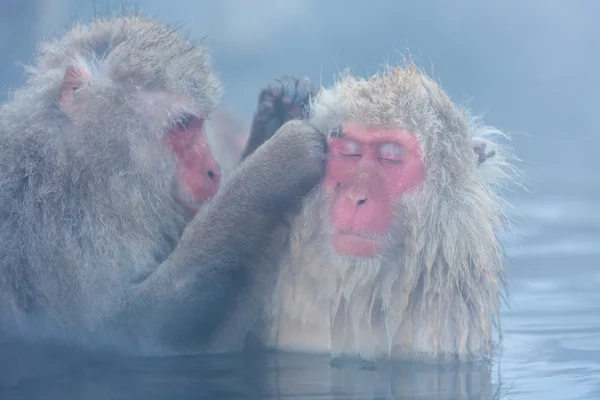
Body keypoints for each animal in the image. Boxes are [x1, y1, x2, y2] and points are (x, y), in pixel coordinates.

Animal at [0, 14, 328, 356]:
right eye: (183, 124)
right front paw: (279, 161)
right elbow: (128, 330)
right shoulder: (58, 231)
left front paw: (279, 110)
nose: (214, 170)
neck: (83, 171)